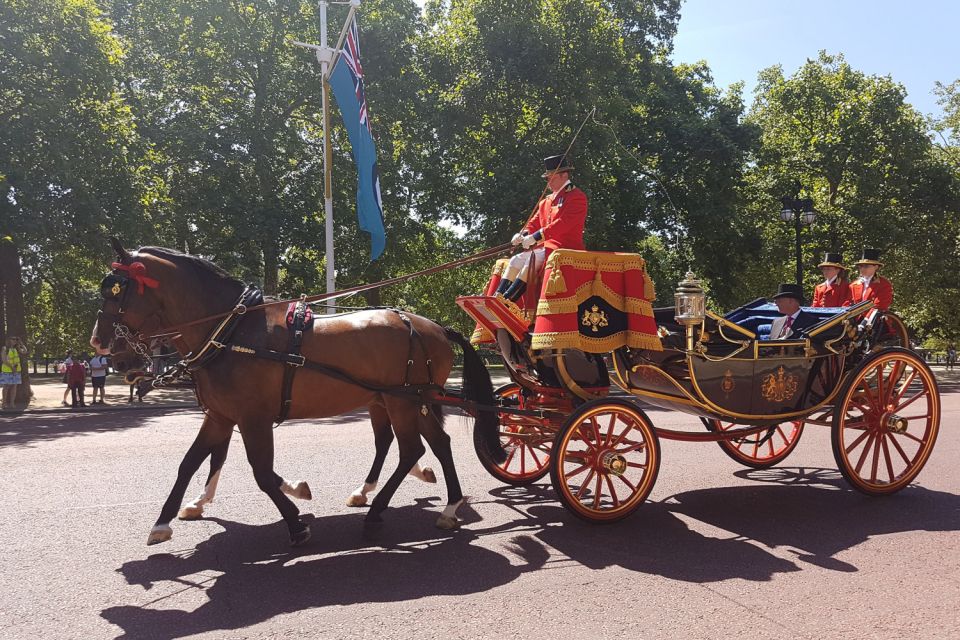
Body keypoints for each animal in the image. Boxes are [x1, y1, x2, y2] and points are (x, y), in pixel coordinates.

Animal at [93, 240, 506, 544]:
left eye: (116, 291)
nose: (101, 347)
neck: (231, 332)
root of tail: (432, 325)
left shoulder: (253, 418)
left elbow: (261, 473)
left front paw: (295, 517)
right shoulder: (221, 415)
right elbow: (192, 462)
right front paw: (166, 520)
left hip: (402, 401)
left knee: (411, 450)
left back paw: (380, 511)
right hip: (406, 401)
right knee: (435, 443)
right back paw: (447, 506)